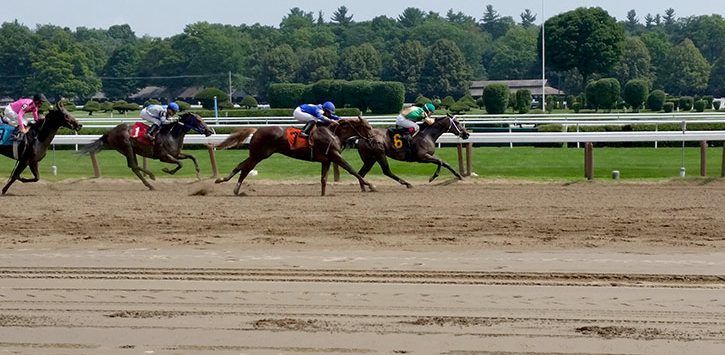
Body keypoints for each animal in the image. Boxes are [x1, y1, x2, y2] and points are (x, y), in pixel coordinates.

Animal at [81, 112, 214, 191]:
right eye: (198, 120)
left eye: (202, 119)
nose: (209, 131)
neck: (172, 135)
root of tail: (110, 132)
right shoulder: (163, 156)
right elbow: (180, 164)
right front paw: (167, 170)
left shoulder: (176, 154)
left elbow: (192, 157)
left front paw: (198, 174)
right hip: (126, 147)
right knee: (134, 166)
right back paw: (151, 177)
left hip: (128, 150)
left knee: (133, 166)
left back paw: (150, 183)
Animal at [214, 117, 376, 197]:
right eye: (368, 128)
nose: (373, 139)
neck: (334, 134)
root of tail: (257, 130)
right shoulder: (334, 156)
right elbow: (352, 170)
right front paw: (371, 185)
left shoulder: (326, 160)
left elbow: (323, 179)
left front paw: (323, 194)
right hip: (258, 155)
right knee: (245, 169)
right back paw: (234, 188)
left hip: (258, 154)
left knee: (241, 166)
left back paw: (224, 181)